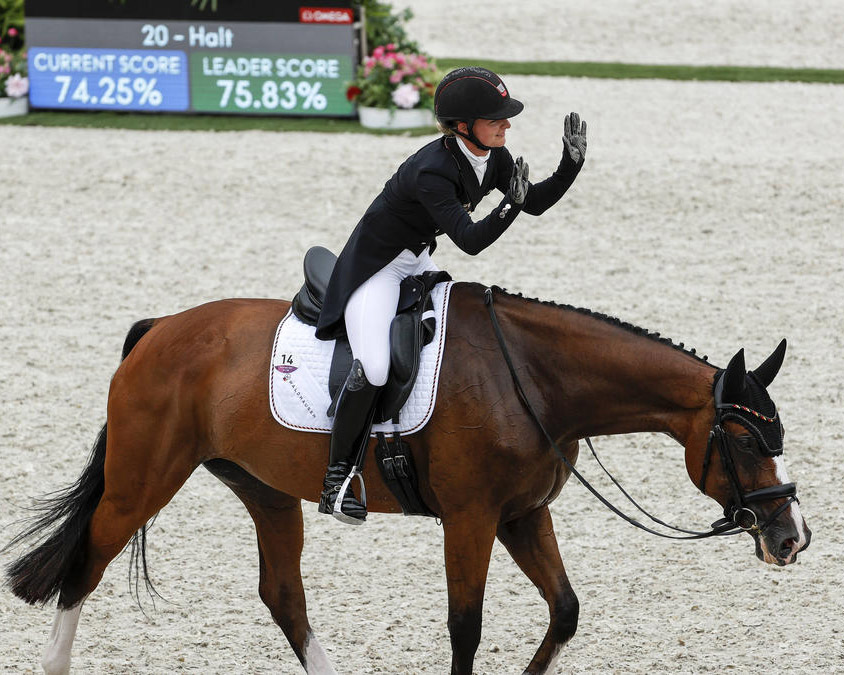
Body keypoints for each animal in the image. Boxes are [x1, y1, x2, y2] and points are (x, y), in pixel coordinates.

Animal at [4, 282, 812, 672]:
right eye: (745, 439)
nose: (791, 536)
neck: (534, 379)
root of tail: (160, 329)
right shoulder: (473, 518)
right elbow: (465, 627)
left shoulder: (523, 514)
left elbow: (565, 611)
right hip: (142, 479)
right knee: (85, 565)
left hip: (264, 489)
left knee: (283, 595)